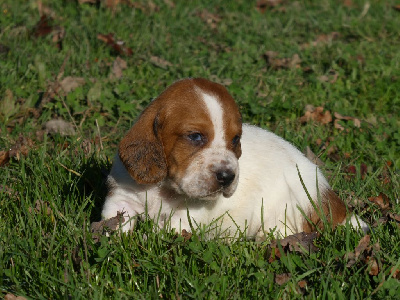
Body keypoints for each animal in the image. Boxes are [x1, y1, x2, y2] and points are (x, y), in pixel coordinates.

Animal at [101, 78, 368, 239]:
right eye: (195, 136)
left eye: (236, 139)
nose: (227, 177)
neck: (165, 187)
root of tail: (332, 201)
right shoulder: (122, 197)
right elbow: (114, 221)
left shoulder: (190, 215)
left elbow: (164, 231)